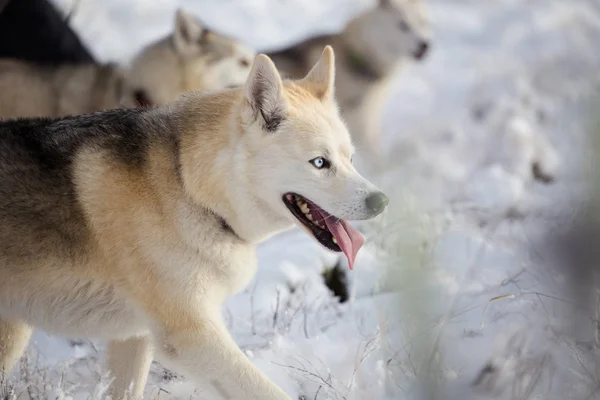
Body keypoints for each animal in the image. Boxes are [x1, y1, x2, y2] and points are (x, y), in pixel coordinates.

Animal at [0, 47, 390, 400]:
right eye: (320, 162)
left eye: (351, 159)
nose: (380, 201)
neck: (190, 186)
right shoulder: (193, 336)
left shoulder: (133, 338)